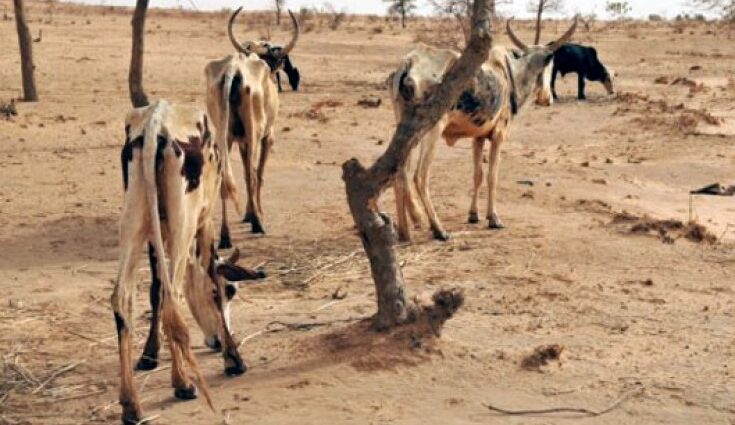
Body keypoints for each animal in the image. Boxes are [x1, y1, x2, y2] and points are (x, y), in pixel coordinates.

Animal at [112, 100, 268, 424]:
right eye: (232, 291)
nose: (216, 342)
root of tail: (155, 124)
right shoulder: (204, 222)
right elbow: (208, 279)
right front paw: (233, 358)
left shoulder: (157, 233)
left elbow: (155, 289)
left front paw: (149, 354)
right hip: (185, 221)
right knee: (173, 299)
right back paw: (183, 384)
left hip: (134, 220)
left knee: (123, 297)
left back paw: (131, 404)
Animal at [388, 17, 576, 242]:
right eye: (551, 65)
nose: (547, 99)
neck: (510, 75)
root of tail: (410, 62)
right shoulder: (498, 135)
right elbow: (492, 176)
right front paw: (493, 218)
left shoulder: (477, 137)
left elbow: (477, 175)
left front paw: (473, 215)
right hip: (431, 130)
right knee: (420, 176)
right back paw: (438, 229)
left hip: (406, 129)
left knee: (400, 174)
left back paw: (404, 231)